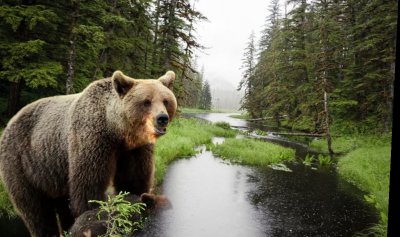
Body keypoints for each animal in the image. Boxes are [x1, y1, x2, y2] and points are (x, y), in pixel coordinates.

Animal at [0, 70, 177, 237]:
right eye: (146, 101)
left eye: (166, 100)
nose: (162, 118)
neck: (116, 131)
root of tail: (10, 121)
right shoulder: (92, 139)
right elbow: (88, 185)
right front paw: (92, 215)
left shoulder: (134, 150)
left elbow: (133, 179)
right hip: (22, 160)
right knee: (35, 207)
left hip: (54, 170)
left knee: (61, 202)